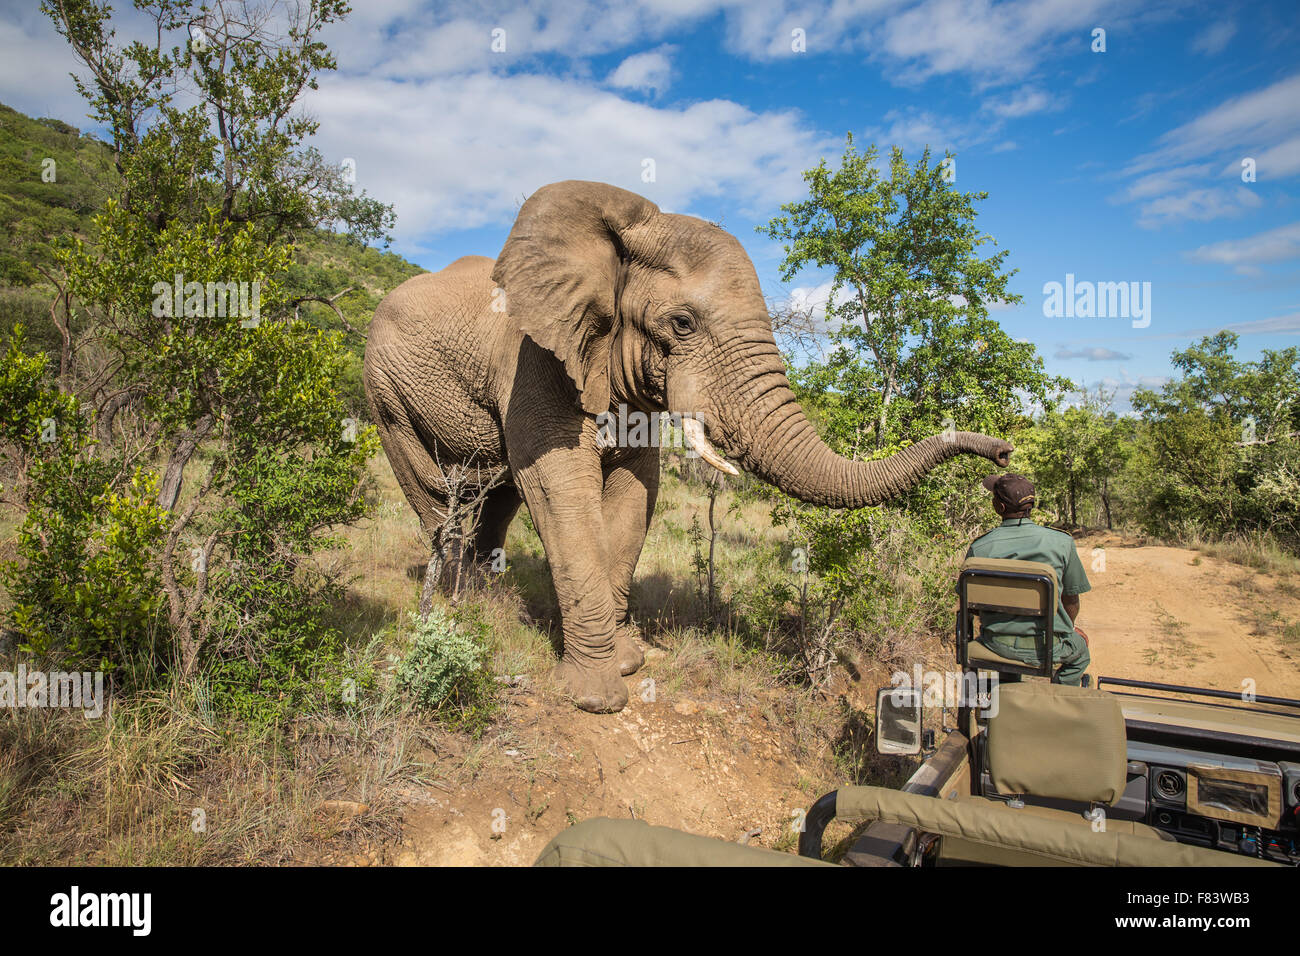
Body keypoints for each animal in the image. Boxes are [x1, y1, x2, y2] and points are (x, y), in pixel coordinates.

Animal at [366, 183, 1013, 712]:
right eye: (682, 324)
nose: (1005, 453)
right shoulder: (533, 358)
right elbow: (560, 485)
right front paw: (598, 696)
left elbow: (636, 488)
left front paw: (628, 658)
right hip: (385, 396)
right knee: (437, 495)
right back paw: (462, 605)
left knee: (495, 497)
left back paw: (490, 595)